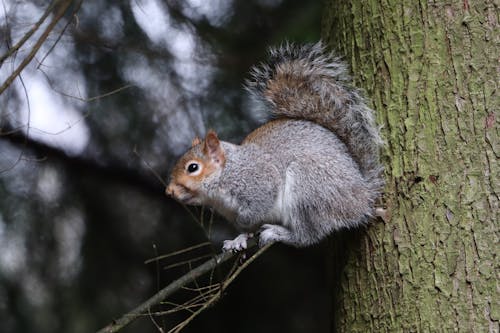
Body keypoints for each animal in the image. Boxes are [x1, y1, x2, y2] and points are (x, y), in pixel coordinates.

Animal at [167, 41, 382, 250]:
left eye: (193, 168)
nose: (169, 191)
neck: (227, 172)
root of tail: (362, 198)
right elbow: (247, 229)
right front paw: (238, 239)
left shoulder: (259, 182)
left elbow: (258, 207)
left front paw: (245, 221)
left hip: (310, 188)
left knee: (307, 235)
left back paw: (280, 233)